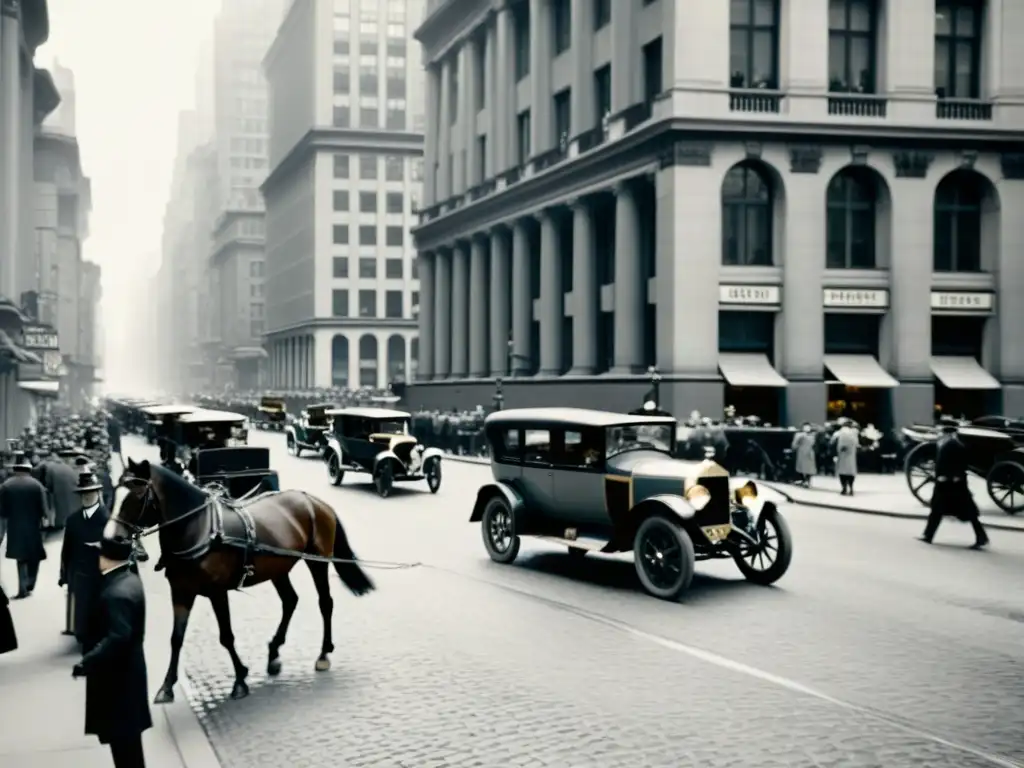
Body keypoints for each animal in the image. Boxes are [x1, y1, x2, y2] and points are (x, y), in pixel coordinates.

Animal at [110, 456, 374, 704]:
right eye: (116, 491)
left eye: (137, 493)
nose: (116, 539)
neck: (199, 529)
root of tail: (314, 501)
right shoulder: (181, 591)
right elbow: (176, 638)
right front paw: (166, 686)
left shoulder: (217, 592)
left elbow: (226, 636)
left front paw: (239, 679)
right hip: (278, 568)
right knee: (290, 601)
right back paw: (274, 653)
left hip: (317, 562)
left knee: (325, 603)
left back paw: (323, 654)